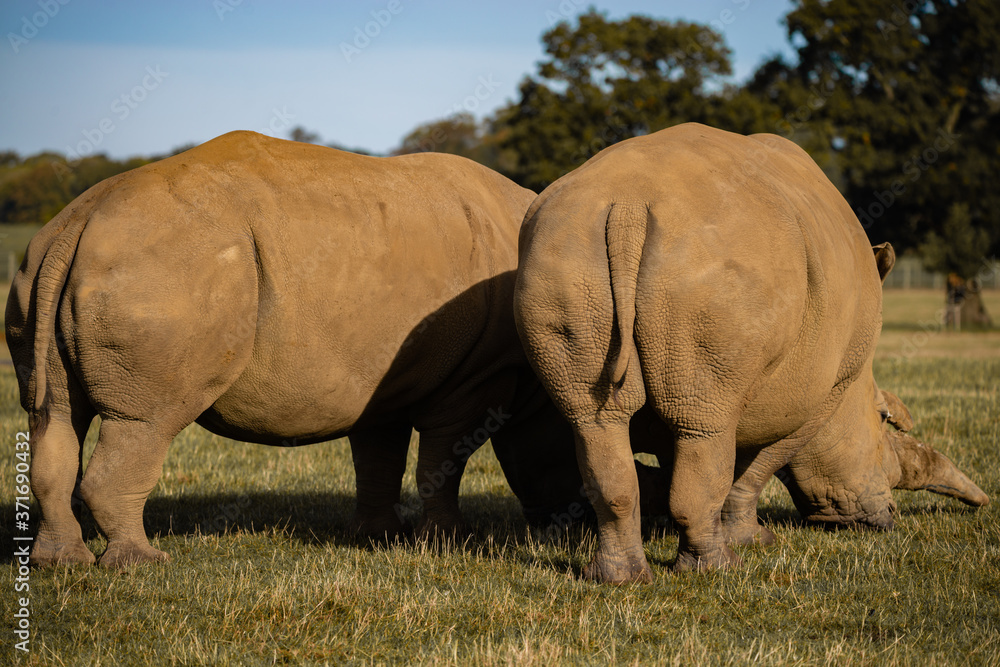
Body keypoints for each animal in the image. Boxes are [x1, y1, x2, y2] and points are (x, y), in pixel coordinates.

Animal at [6, 131, 585, 568]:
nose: (571, 528)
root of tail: (79, 221)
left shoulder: (385, 376)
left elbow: (379, 457)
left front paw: (377, 539)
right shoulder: (478, 374)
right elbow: (444, 459)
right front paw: (450, 544)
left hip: (47, 269)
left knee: (54, 413)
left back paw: (61, 563)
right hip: (161, 270)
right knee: (147, 420)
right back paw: (141, 564)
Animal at [513, 123, 989, 584]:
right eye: (884, 418)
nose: (886, 517)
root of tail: (628, 206)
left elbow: (699, 460)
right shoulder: (820, 391)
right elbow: (754, 467)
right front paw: (754, 540)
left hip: (565, 259)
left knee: (597, 421)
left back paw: (617, 579)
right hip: (713, 272)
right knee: (703, 428)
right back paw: (718, 569)